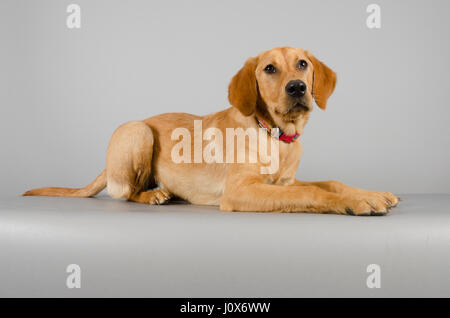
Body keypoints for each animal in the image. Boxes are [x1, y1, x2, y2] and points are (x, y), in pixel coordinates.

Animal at [23, 46, 400, 216]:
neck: (276, 136)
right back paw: (153, 196)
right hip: (137, 131)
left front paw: (372, 193)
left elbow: (330, 182)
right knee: (125, 192)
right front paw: (357, 202)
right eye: (269, 69)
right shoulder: (241, 190)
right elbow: (312, 194)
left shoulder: (283, 182)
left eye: (303, 64)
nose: (297, 88)